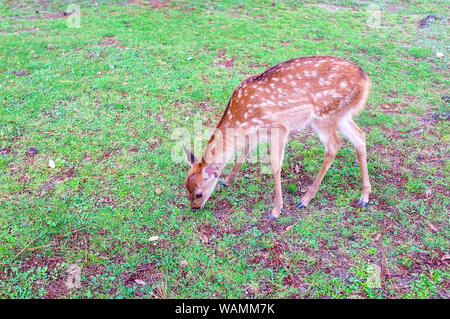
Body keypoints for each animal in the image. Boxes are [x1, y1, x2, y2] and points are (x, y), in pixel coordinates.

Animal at [181, 55, 370, 220]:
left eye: (199, 193)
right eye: (186, 190)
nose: (194, 208)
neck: (241, 118)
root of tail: (365, 79)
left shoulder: (279, 127)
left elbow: (274, 165)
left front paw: (276, 210)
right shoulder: (256, 132)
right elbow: (246, 150)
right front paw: (227, 180)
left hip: (324, 116)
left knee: (334, 146)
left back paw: (305, 200)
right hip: (342, 115)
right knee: (359, 136)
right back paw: (365, 197)